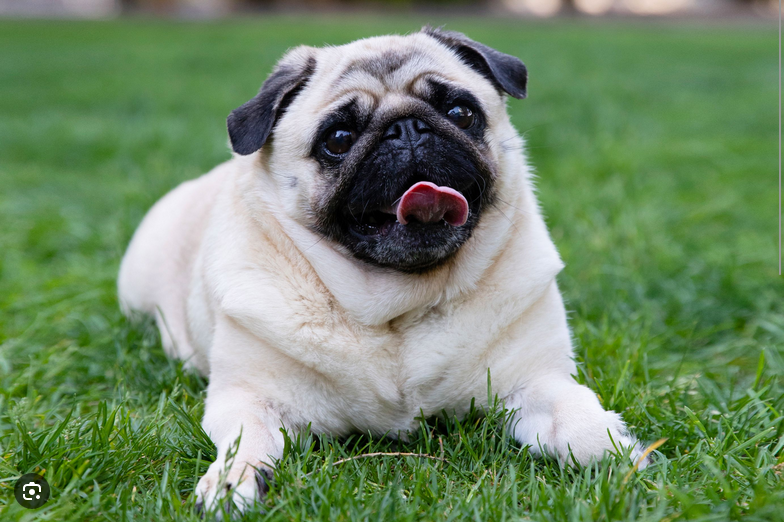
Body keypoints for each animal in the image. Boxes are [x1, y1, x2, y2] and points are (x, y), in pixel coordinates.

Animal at [115, 26, 644, 510]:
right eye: (338, 139)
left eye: (461, 112)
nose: (407, 128)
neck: (400, 305)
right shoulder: (248, 397)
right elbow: (247, 441)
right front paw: (233, 480)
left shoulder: (536, 380)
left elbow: (574, 410)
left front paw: (611, 450)